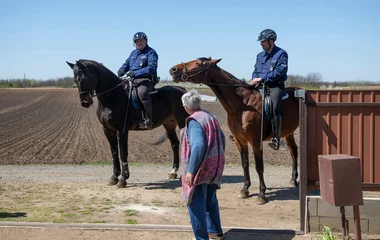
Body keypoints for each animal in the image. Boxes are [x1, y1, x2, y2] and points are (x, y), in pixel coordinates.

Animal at [67, 59, 189, 188]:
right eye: (75, 79)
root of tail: (182, 90)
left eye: (85, 77)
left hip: (182, 122)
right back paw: (173, 172)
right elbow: (114, 153)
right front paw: (114, 177)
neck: (113, 96)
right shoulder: (108, 130)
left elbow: (123, 153)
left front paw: (123, 179)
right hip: (169, 124)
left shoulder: (122, 130)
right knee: (175, 144)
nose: (85, 102)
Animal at [170, 57, 300, 203]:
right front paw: (245, 190)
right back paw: (293, 180)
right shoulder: (240, 140)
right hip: (288, 133)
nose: (173, 69)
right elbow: (245, 164)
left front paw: (261, 194)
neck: (244, 104)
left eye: (198, 63)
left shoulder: (256, 141)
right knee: (293, 151)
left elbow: (259, 166)